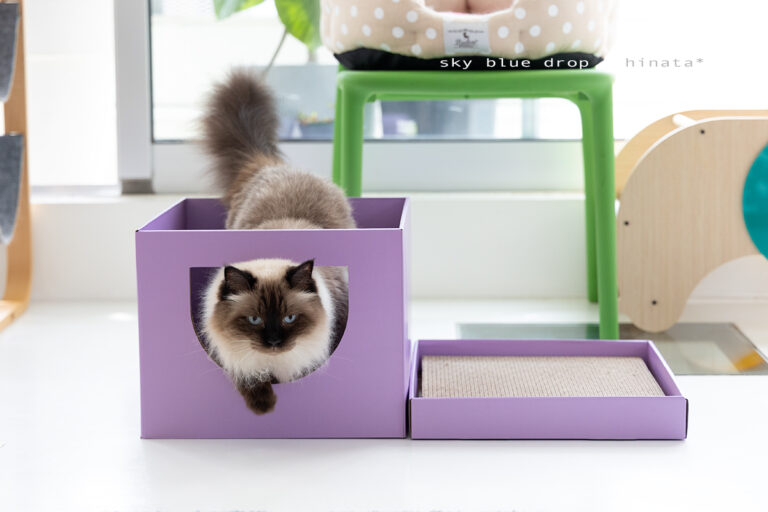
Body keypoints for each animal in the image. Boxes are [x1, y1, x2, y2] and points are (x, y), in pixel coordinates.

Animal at [199, 70, 355, 415]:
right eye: (254, 319)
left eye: (289, 318)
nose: (273, 343)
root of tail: (276, 168)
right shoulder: (234, 356)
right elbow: (247, 374)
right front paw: (264, 406)